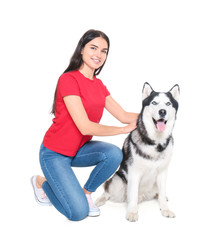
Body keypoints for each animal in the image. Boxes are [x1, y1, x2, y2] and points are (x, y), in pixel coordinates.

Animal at [95, 82, 180, 221]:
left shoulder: (162, 172)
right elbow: (133, 195)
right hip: (118, 182)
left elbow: (162, 194)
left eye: (168, 103)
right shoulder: (134, 173)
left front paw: (165, 209)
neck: (156, 143)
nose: (162, 111)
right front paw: (132, 212)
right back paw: (100, 199)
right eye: (154, 103)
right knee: (108, 190)